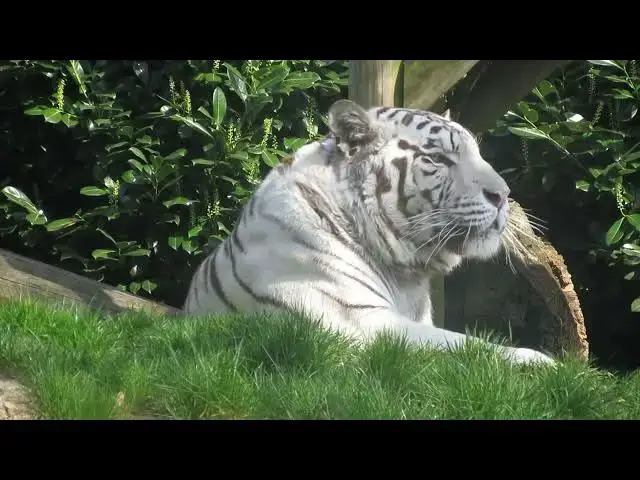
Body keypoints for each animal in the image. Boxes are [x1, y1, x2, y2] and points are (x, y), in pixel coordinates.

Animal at [183, 99, 555, 366]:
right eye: (438, 158)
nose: (503, 194)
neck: (408, 273)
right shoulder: (363, 323)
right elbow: (468, 346)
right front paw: (544, 364)